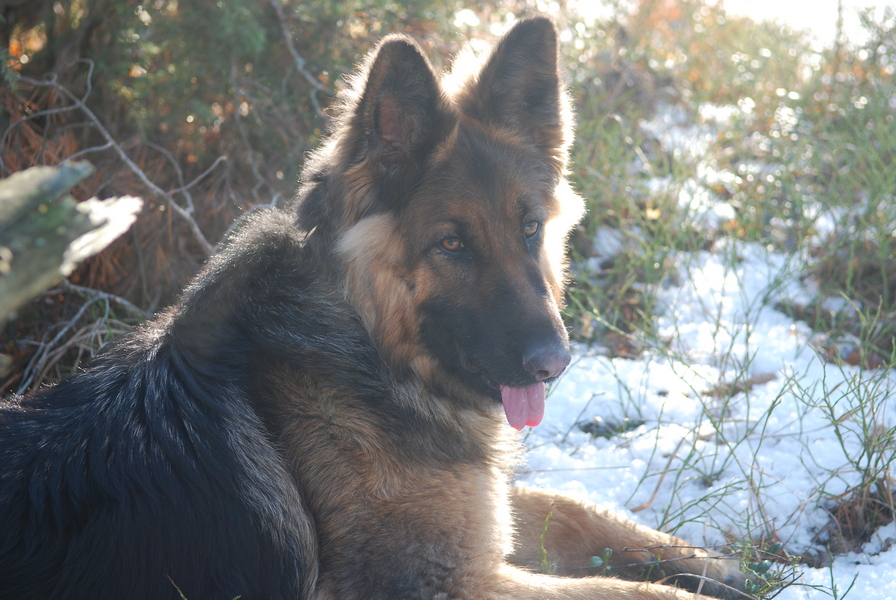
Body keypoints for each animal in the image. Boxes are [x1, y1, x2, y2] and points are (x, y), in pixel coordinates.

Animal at [0, 17, 751, 600]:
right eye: (452, 244)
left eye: (530, 228)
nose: (554, 363)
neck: (366, 350)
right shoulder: (450, 578)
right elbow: (625, 589)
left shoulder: (475, 513)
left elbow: (576, 510)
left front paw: (715, 561)